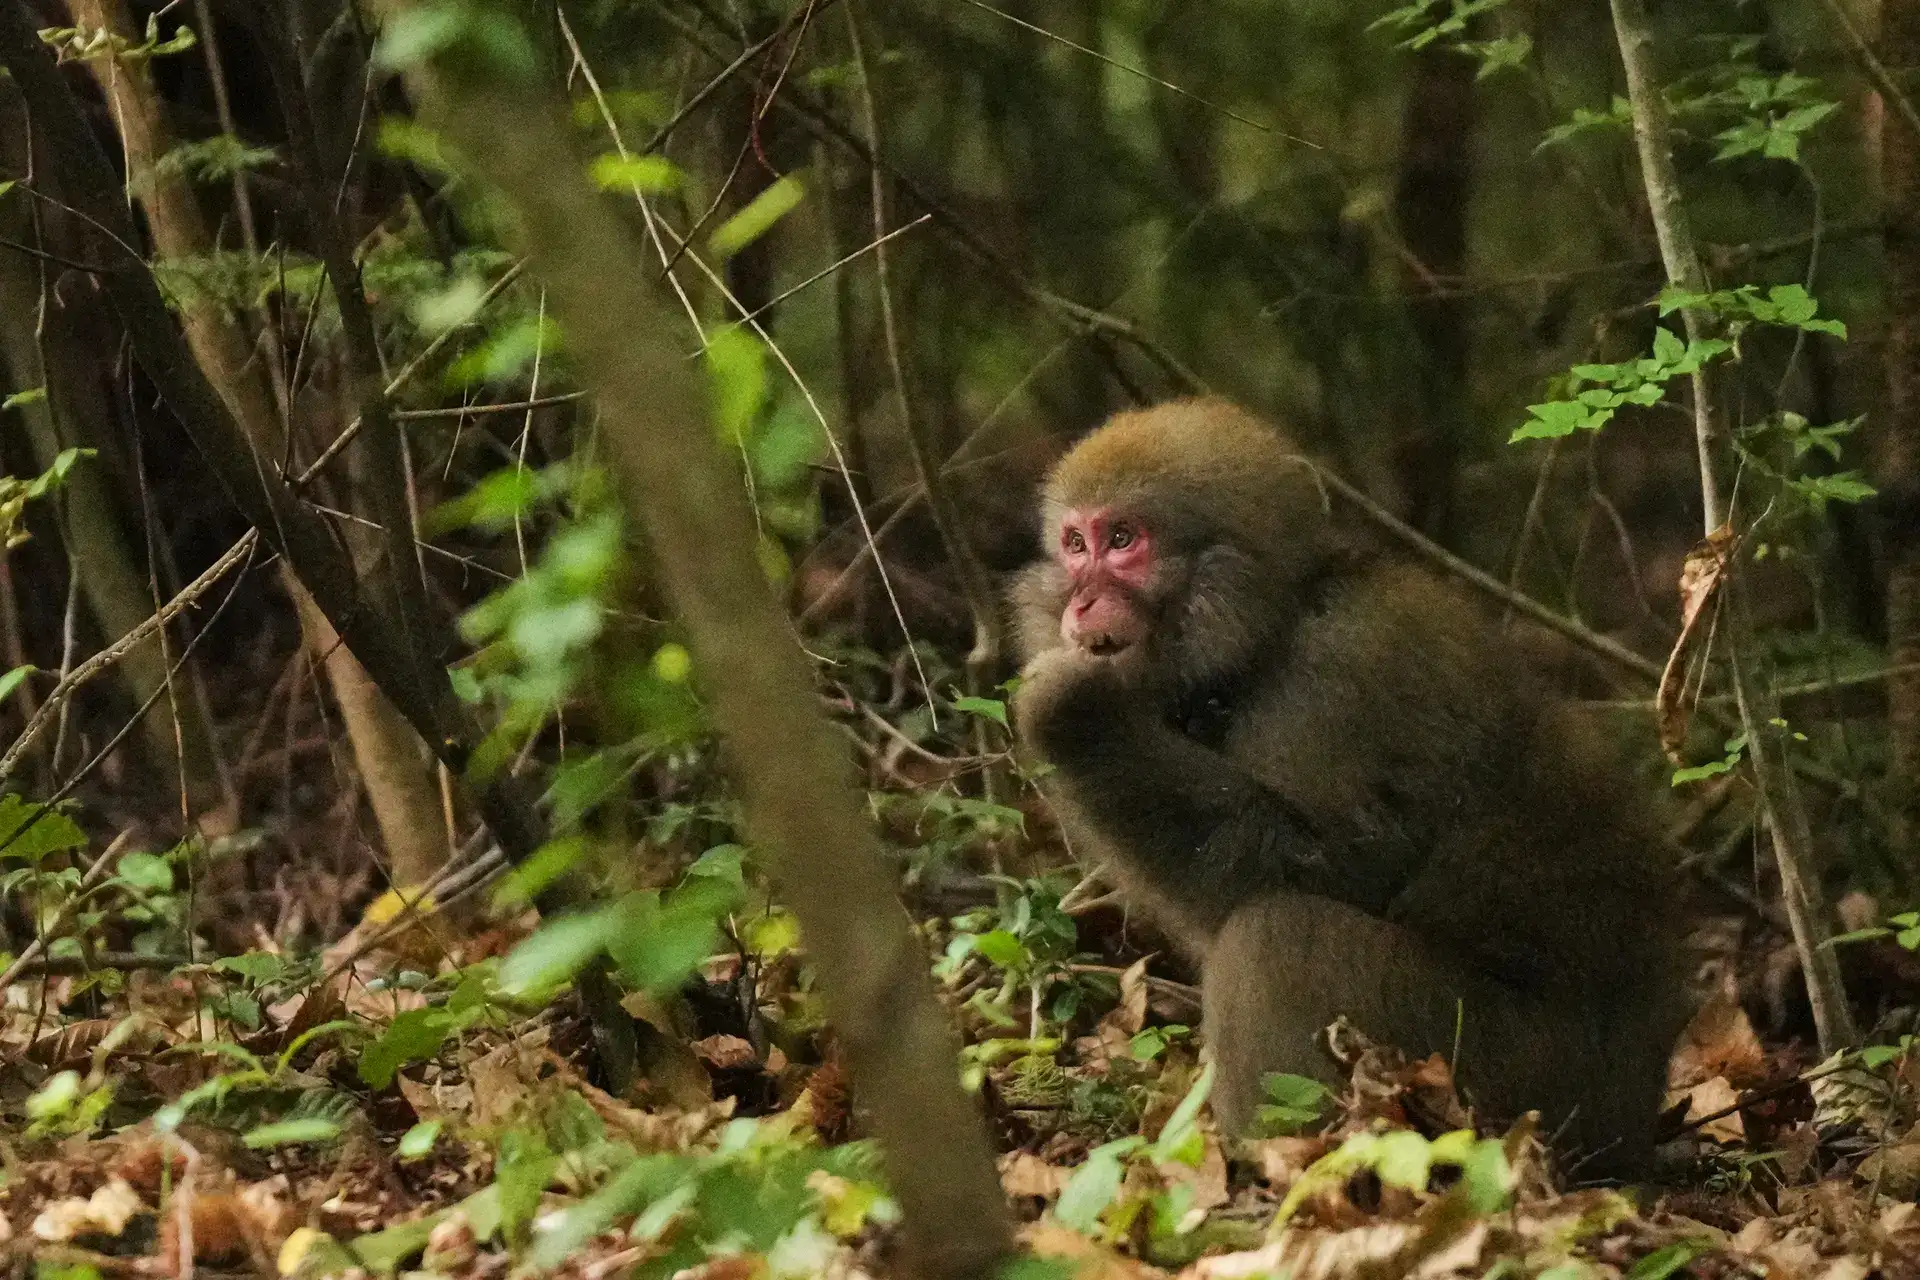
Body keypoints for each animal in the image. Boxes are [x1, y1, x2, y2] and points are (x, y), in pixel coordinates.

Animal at [1010, 398, 1691, 1178]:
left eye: (1123, 540)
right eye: (1075, 545)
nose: (1083, 601)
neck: (1270, 633)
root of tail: (1633, 1124)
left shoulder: (1344, 673)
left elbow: (1330, 868)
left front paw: (1071, 710)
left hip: (1503, 1085)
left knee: (1279, 937)